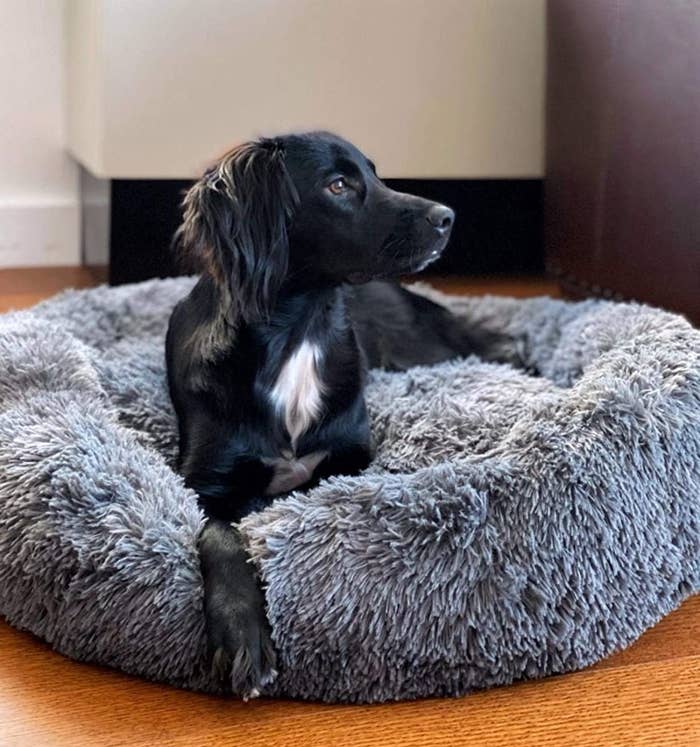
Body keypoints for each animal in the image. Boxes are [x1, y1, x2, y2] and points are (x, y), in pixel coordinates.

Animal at [166, 131, 486, 700]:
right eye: (338, 185)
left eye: (376, 175)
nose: (447, 216)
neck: (300, 331)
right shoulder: (205, 482)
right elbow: (221, 535)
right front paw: (243, 634)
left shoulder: (351, 457)